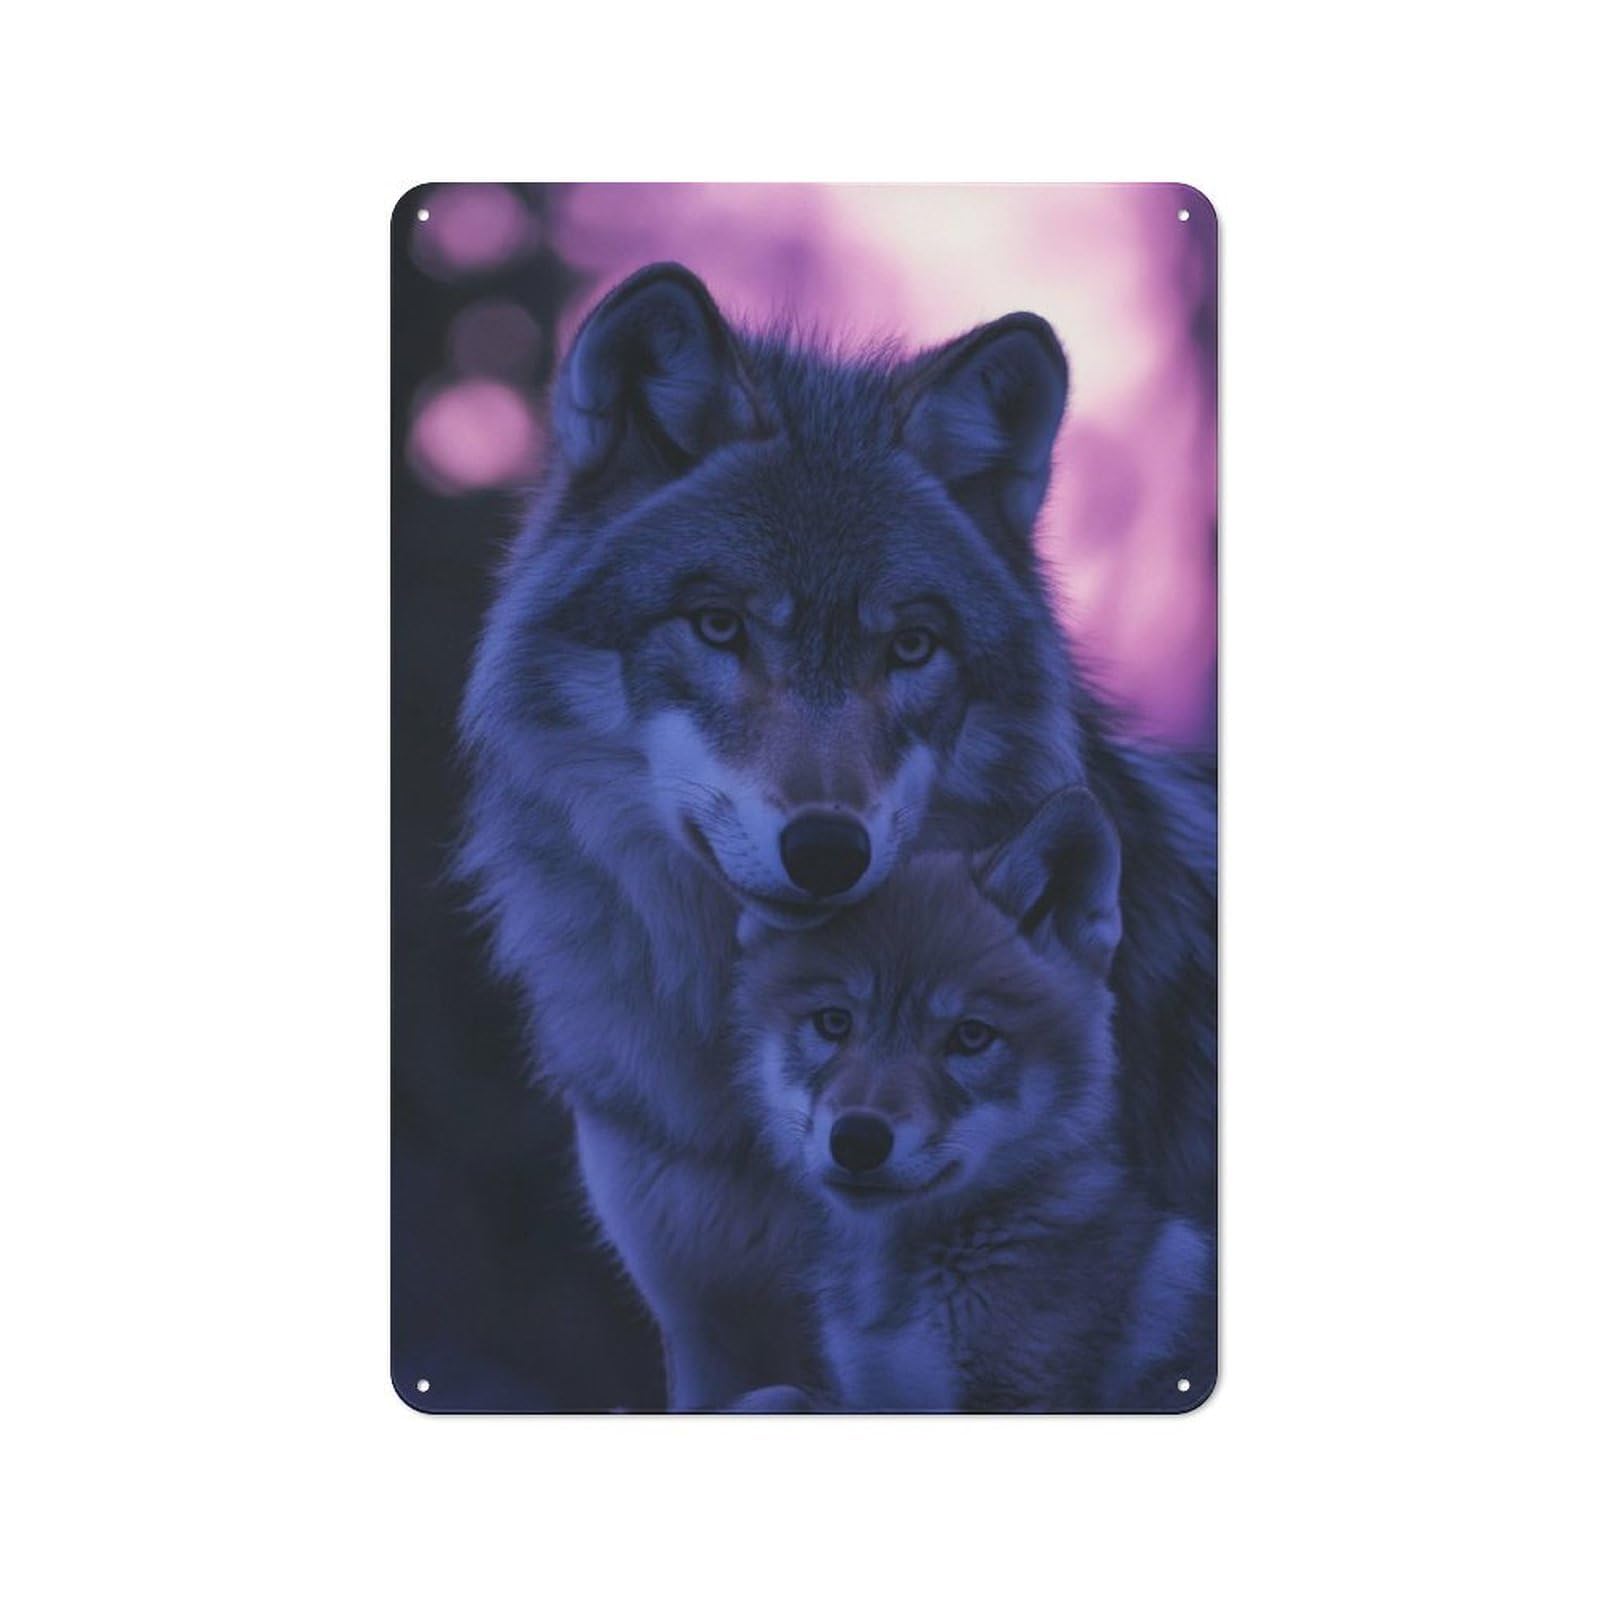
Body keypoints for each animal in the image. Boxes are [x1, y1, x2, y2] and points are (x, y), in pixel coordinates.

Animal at [731, 788, 1216, 1412]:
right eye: (834, 1022)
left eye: (970, 1036)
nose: (858, 1140)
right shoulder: (863, 1395)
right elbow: (772, 1393)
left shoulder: (1015, 1396)